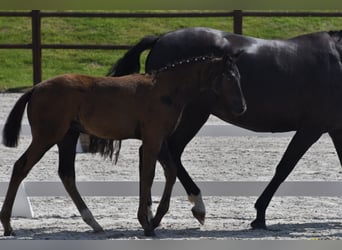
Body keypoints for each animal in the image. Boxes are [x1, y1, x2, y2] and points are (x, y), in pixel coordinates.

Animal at [107, 27, 342, 230]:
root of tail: (161, 39)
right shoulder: (311, 128)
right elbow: (284, 168)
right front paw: (259, 216)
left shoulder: (334, 129)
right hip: (192, 115)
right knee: (168, 153)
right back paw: (193, 207)